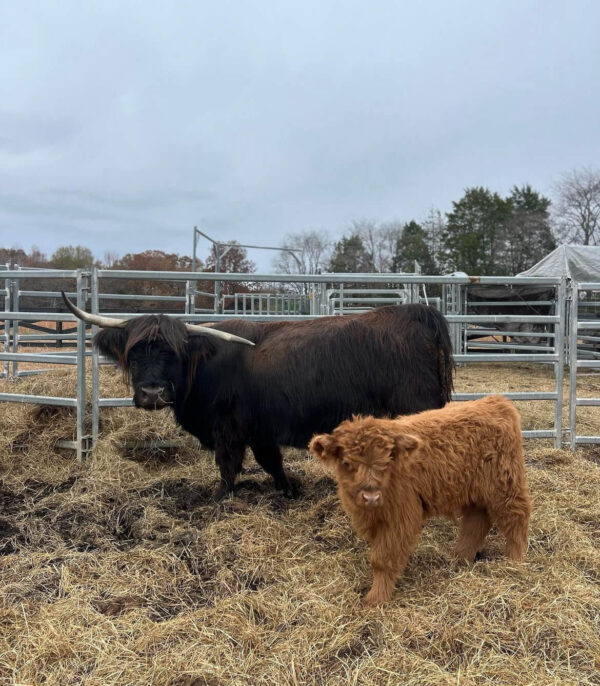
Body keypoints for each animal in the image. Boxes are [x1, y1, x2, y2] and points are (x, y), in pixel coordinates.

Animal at [63, 294, 454, 500]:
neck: (205, 367)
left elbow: (227, 465)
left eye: (173, 353)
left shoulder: (227, 429)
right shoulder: (260, 429)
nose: (152, 392)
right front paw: (290, 490)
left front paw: (221, 498)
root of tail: (416, 311)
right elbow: (271, 463)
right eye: (134, 353)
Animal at [309, 395, 531, 605]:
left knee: (517, 515)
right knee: (476, 522)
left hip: (504, 484)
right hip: (475, 491)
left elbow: (382, 559)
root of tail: (495, 401)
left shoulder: (400, 517)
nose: (371, 497)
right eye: (347, 462)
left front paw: (376, 599)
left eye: (387, 460)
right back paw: (459, 558)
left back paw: (514, 560)